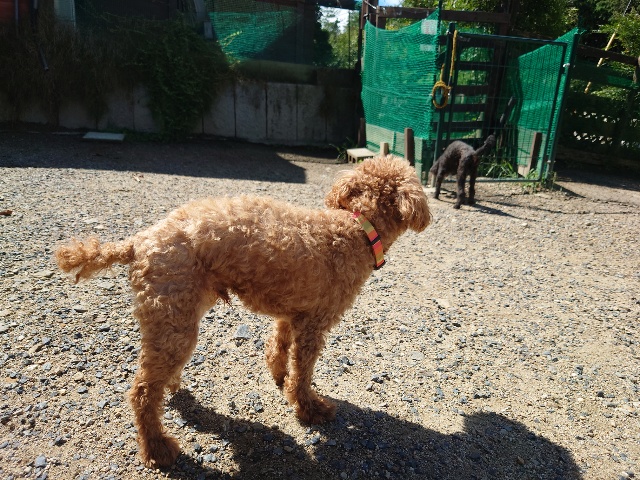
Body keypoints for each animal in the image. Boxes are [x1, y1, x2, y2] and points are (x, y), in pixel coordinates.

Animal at [55, 155, 431, 468]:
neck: (356, 227)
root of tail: (137, 242)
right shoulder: (314, 323)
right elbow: (303, 371)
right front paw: (310, 408)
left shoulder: (292, 312)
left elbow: (279, 347)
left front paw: (279, 377)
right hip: (174, 318)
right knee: (143, 391)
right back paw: (157, 449)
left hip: (178, 313)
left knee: (156, 375)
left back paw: (172, 389)